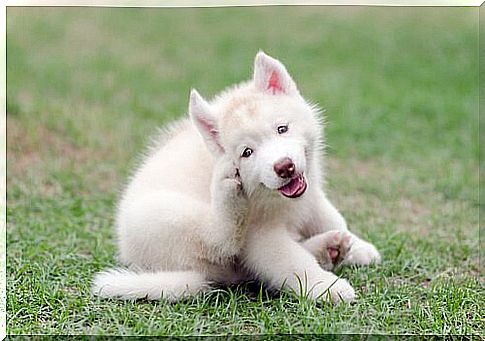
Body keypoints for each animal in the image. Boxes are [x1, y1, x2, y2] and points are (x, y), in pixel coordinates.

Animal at [92, 51, 380, 302]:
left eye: (282, 129)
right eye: (247, 153)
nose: (284, 167)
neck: (273, 198)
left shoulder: (310, 195)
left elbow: (331, 217)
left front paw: (359, 246)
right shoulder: (261, 235)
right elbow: (291, 262)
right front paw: (327, 287)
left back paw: (329, 248)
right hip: (164, 215)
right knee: (221, 241)